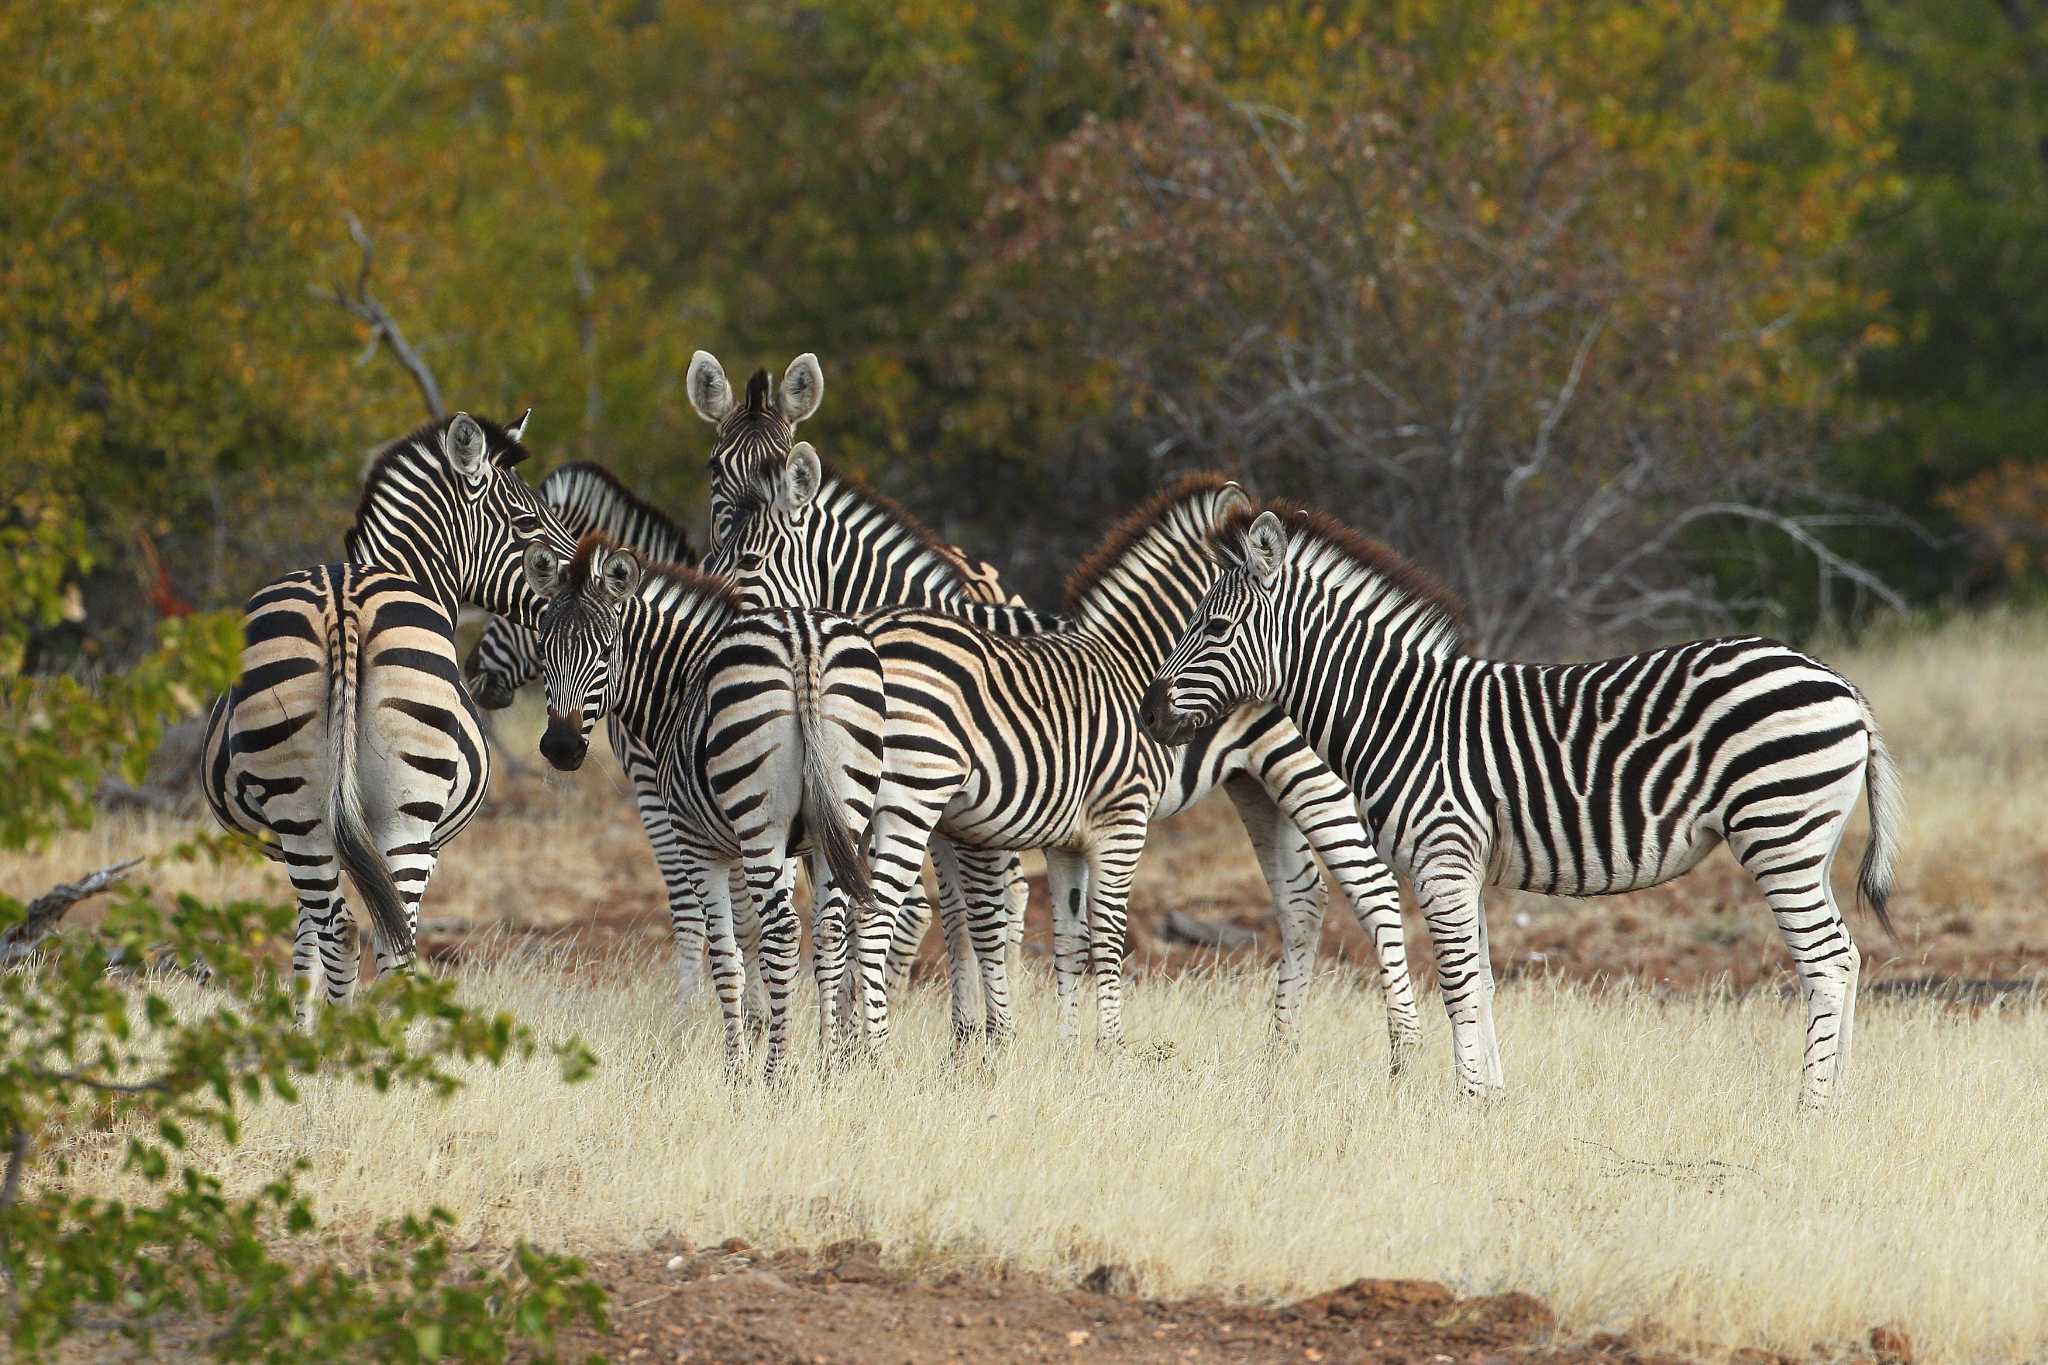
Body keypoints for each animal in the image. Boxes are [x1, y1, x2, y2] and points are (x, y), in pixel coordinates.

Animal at [201, 411, 577, 1019]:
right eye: (528, 523)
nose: (601, 589)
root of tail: (343, 601)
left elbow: (305, 946)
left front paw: (301, 1024)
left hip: (308, 808)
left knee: (347, 932)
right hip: (405, 817)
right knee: (387, 941)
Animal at [520, 532, 880, 1080]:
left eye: (607, 651)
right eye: (543, 648)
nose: (560, 748)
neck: (683, 680)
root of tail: (802, 639)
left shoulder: (699, 843)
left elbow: (729, 954)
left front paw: (736, 1068)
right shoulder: (802, 847)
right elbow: (784, 946)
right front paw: (815, 1053)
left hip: (758, 824)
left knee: (782, 932)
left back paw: (775, 1076)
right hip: (845, 815)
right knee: (829, 933)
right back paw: (822, 1067)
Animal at [712, 464, 1417, 1064]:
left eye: (750, 559)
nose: (723, 636)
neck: (1129, 655)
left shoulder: (1052, 830)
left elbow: (1055, 933)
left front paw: (1044, 1047)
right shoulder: (1084, 825)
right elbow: (1072, 933)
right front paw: (1070, 1049)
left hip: (1297, 777)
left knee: (1357, 893)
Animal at [1138, 501, 1900, 1113]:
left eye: (1215, 626)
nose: (1148, 713)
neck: (1396, 713)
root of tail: (1841, 684)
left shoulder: (1442, 857)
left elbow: (1456, 985)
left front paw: (1464, 1102)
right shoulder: (1462, 866)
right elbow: (1481, 982)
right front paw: (1490, 1098)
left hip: (1779, 833)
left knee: (1825, 962)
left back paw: (1810, 1106)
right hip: (1811, 841)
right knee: (1848, 957)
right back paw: (1840, 1099)